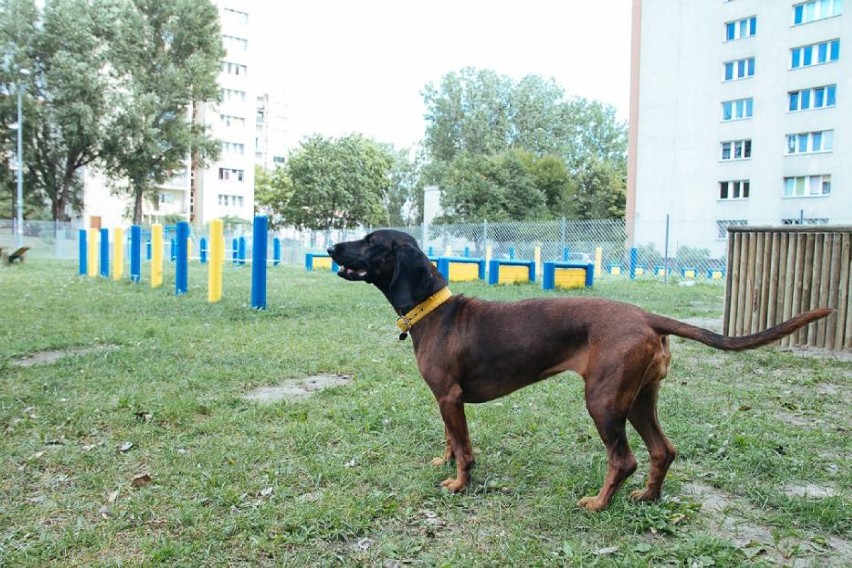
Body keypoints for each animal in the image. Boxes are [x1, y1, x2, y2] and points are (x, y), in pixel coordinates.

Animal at [328, 229, 832, 512]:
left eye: (370, 242)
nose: (332, 247)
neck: (435, 312)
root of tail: (647, 317)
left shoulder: (450, 398)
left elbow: (466, 449)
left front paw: (458, 484)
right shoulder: (446, 401)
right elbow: (452, 441)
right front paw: (446, 463)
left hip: (604, 403)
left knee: (624, 459)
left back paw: (598, 505)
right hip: (639, 400)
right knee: (663, 451)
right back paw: (647, 498)